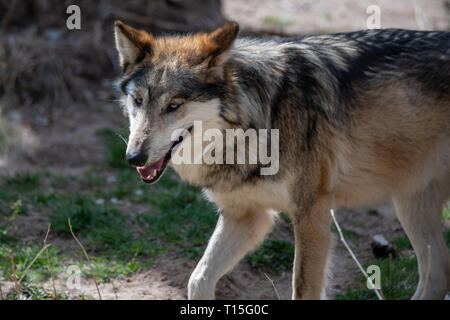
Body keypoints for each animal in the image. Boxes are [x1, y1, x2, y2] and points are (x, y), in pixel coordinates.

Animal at [113, 20, 450, 300]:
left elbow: (302, 290)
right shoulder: (246, 216)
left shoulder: (311, 216)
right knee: (437, 276)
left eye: (174, 105)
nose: (133, 157)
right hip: (410, 206)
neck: (260, 120)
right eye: (138, 100)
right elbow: (198, 280)